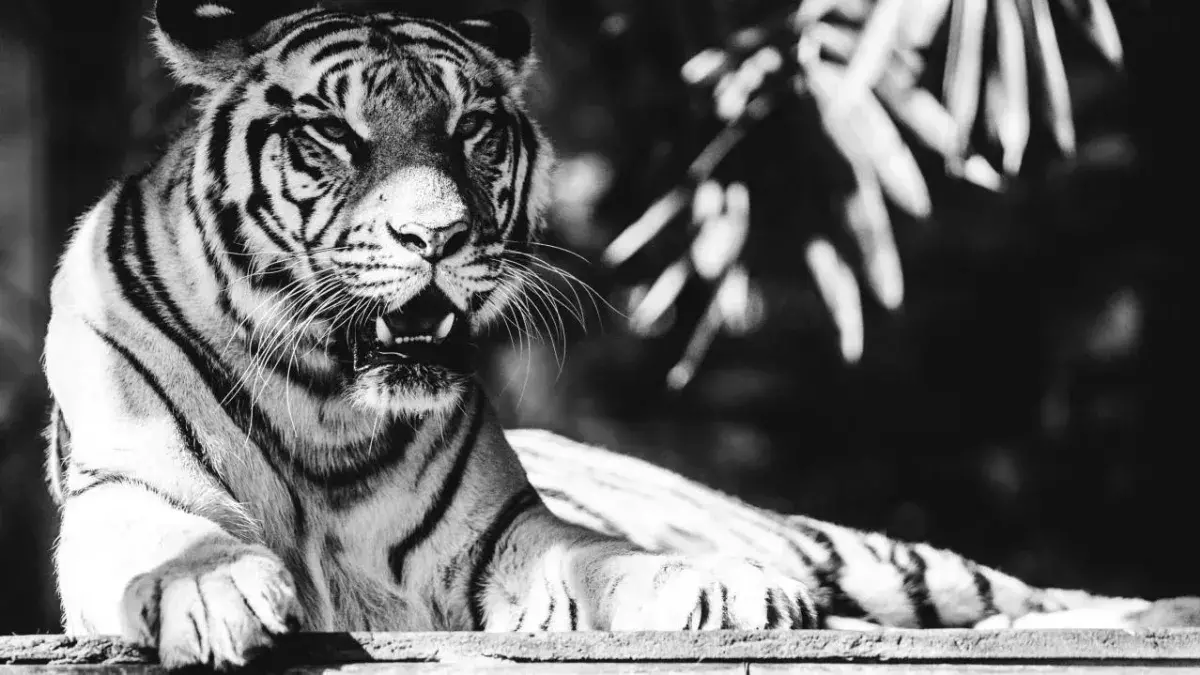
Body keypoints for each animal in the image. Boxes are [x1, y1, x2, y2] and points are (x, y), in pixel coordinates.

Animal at [41, 0, 1194, 671]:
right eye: (332, 134)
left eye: (471, 129)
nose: (438, 237)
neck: (327, 401)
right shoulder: (120, 492)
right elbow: (171, 538)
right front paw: (212, 588)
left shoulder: (500, 535)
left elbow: (600, 560)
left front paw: (716, 588)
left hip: (863, 554)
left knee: (1034, 594)